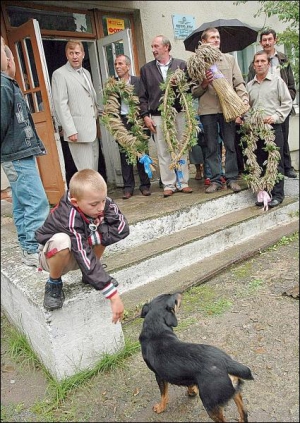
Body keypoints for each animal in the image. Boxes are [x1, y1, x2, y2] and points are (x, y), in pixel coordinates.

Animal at [139, 294, 253, 423]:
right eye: (174, 299)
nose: (179, 293)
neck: (156, 329)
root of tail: (227, 363)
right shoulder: (187, 376)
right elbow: (188, 384)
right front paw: (192, 391)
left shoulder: (159, 376)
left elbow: (164, 395)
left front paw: (160, 407)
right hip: (234, 393)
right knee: (244, 413)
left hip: (211, 405)